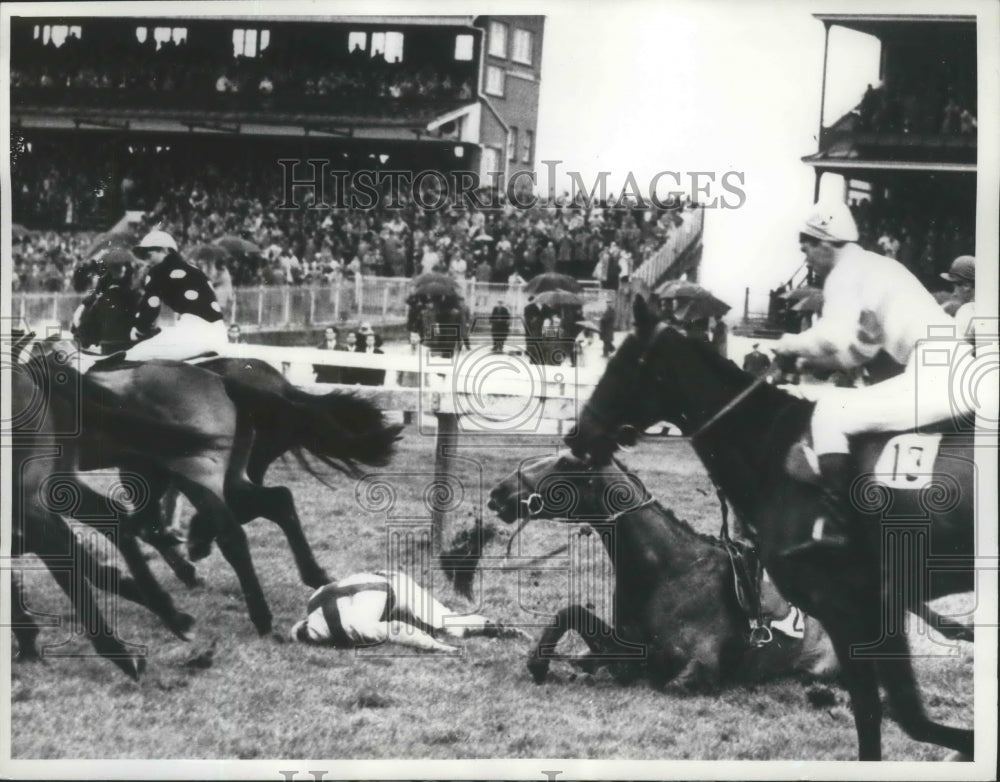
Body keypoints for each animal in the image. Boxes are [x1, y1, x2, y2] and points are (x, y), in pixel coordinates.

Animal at [484, 454, 836, 692]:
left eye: (566, 462)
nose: (498, 492)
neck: (669, 572)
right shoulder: (626, 648)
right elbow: (570, 613)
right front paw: (540, 663)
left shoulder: (697, 671)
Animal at [572, 298, 976, 764]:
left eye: (620, 365)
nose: (576, 434)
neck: (771, 451)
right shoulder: (869, 610)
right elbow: (890, 714)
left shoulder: (853, 606)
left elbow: (896, 715)